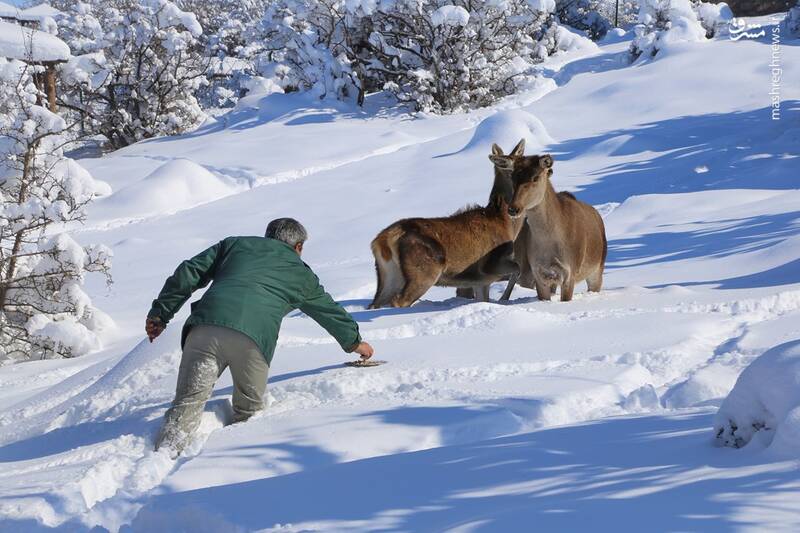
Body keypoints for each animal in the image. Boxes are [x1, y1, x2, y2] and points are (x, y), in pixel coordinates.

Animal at [370, 140, 532, 308]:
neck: (506, 223)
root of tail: (383, 239)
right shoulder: (491, 264)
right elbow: (517, 269)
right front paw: (503, 299)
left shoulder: (481, 281)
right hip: (424, 271)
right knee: (399, 300)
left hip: (389, 274)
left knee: (376, 303)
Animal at [490, 148, 608, 302]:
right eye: (512, 177)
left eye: (535, 177)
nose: (513, 208)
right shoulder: (538, 273)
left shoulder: (570, 272)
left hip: (598, 268)